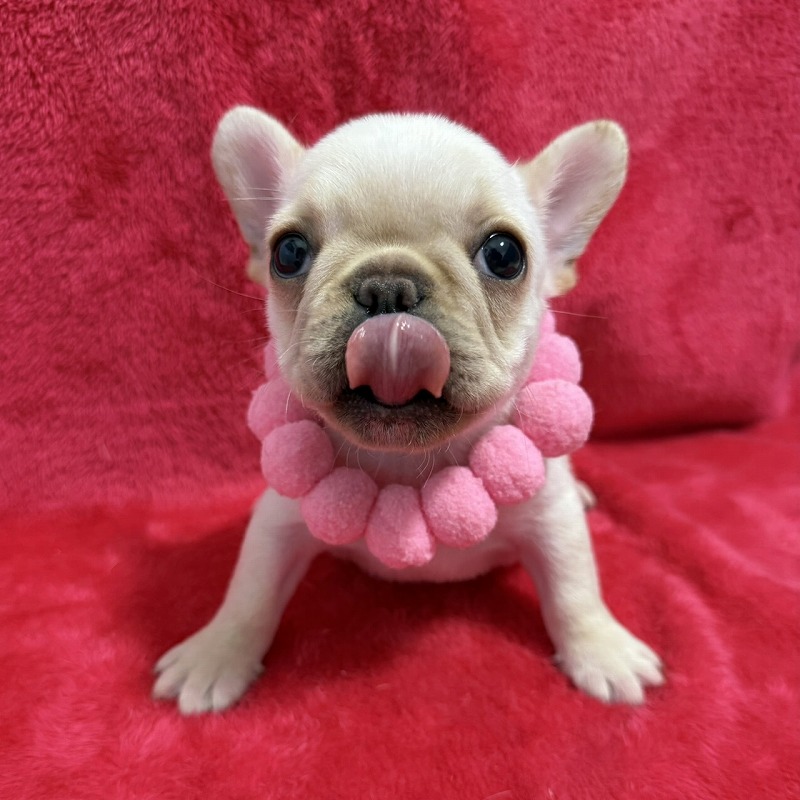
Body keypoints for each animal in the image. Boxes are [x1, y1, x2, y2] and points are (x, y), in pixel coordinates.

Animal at [153, 107, 664, 714]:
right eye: (289, 253)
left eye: (504, 255)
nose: (388, 287)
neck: (407, 460)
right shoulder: (277, 522)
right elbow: (248, 594)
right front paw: (215, 654)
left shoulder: (551, 519)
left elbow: (574, 590)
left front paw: (602, 650)